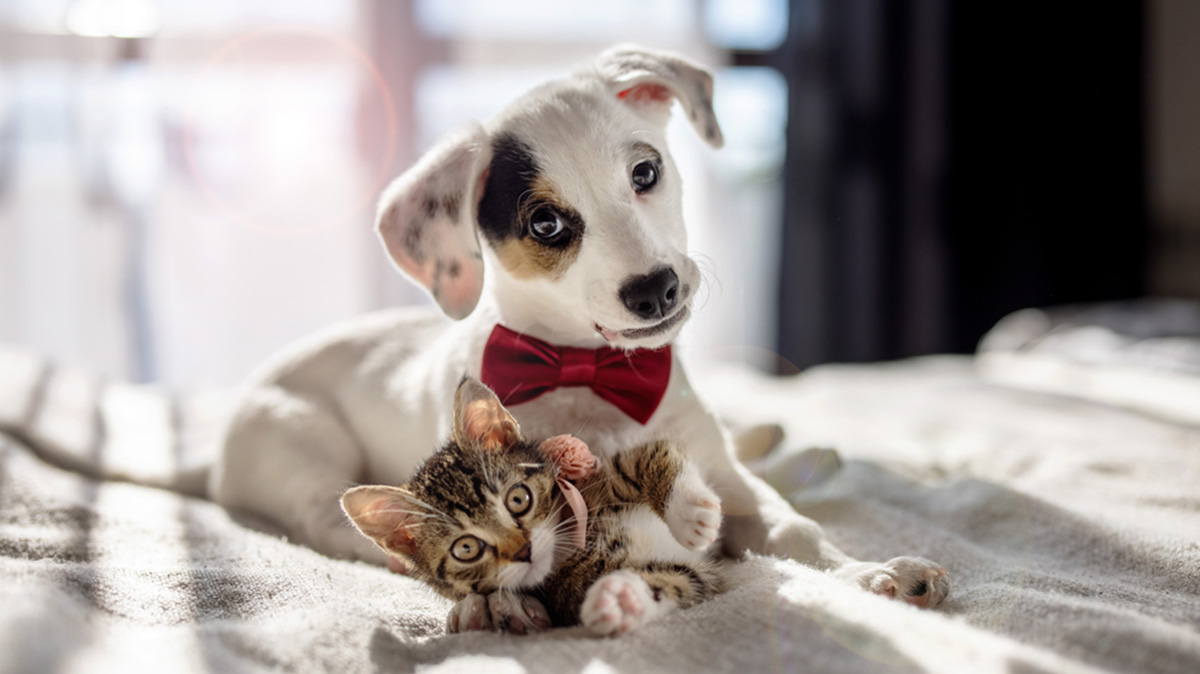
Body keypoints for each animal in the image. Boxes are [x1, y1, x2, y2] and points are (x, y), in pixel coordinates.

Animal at [343, 378, 724, 633]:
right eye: (466, 549)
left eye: (518, 499)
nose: (523, 551)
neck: (574, 544)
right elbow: (675, 579)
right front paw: (621, 600)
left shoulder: (607, 473)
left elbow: (651, 454)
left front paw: (693, 513)